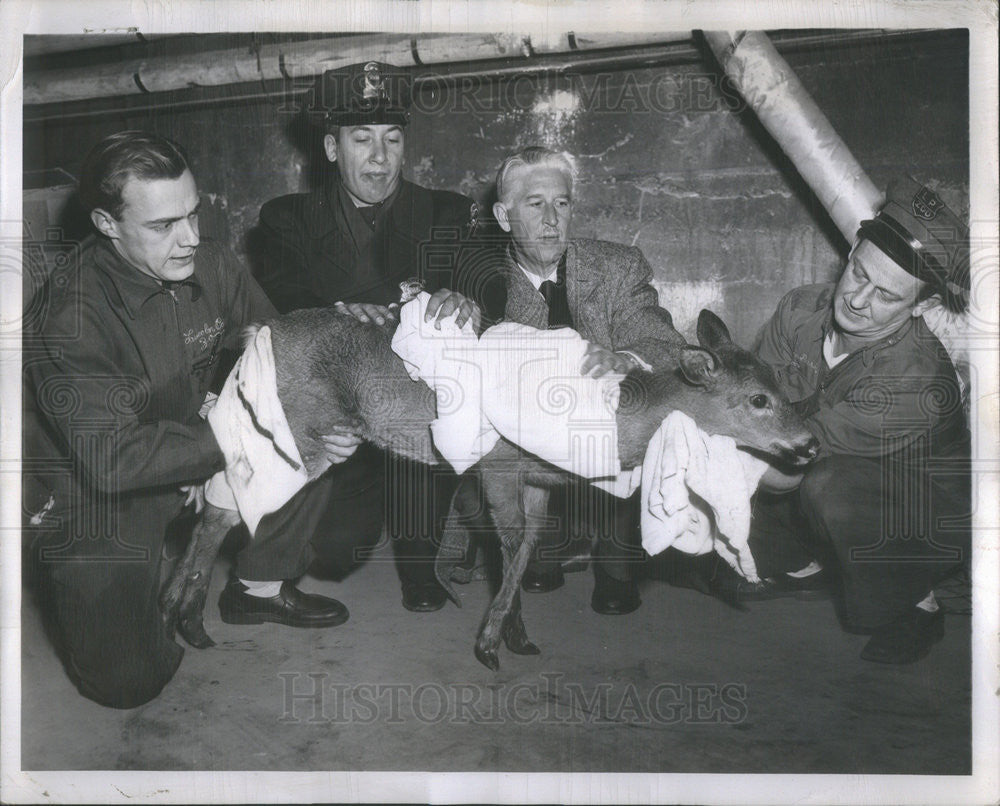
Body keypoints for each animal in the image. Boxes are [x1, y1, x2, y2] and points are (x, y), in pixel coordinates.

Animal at [162, 294, 820, 672]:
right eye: (757, 399)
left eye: (777, 383)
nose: (810, 443)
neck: (609, 420)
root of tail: (257, 334)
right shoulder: (498, 464)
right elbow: (513, 545)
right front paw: (488, 645)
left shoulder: (536, 479)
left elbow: (521, 546)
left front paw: (516, 636)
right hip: (297, 427)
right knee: (225, 501)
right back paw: (186, 621)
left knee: (216, 497)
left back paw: (178, 608)